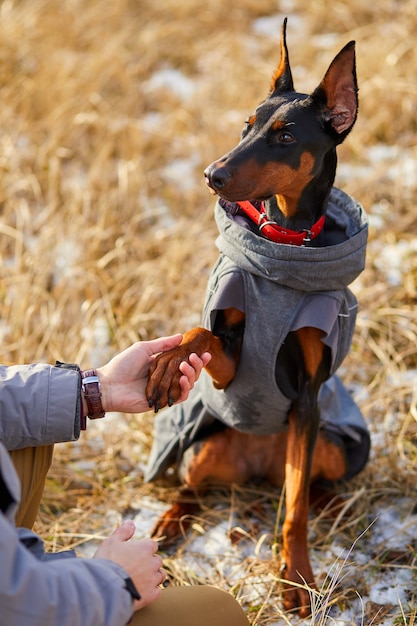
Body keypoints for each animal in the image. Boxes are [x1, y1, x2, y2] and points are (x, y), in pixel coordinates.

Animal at [145, 18, 368, 616]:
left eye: (286, 137)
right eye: (246, 126)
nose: (211, 174)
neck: (283, 245)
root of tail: (260, 466)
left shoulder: (309, 395)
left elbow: (293, 516)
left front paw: (297, 580)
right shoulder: (232, 360)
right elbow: (200, 332)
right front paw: (168, 362)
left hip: (325, 444)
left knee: (302, 491)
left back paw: (325, 503)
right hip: (206, 445)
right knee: (192, 488)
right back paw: (166, 525)